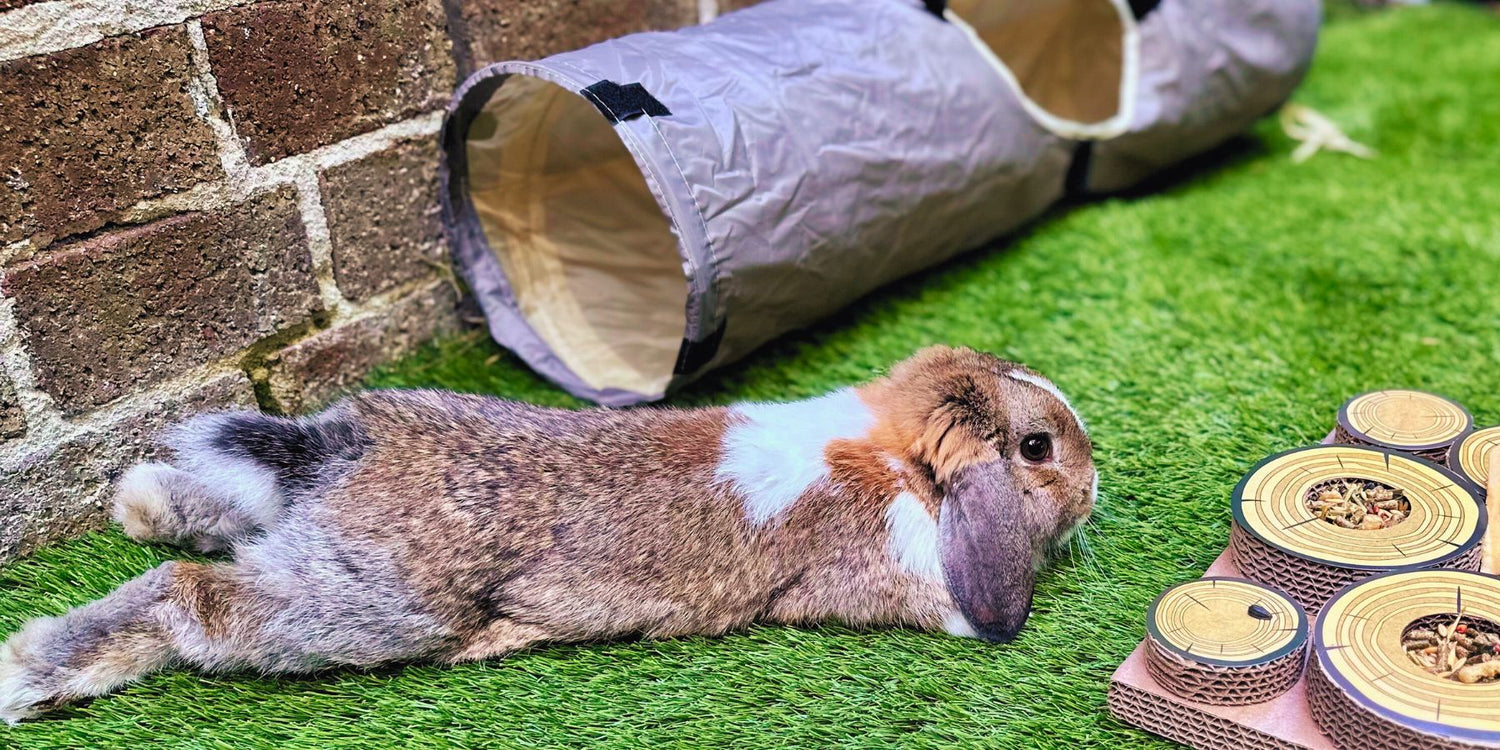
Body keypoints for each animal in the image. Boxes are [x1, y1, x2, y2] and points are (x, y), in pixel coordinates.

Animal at [0, 345, 1095, 723]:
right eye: (1036, 448)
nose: (1093, 488)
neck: (894, 458)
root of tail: (336, 448)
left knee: (208, 514)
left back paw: (138, 498)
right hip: (370, 603)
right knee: (190, 594)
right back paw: (30, 672)